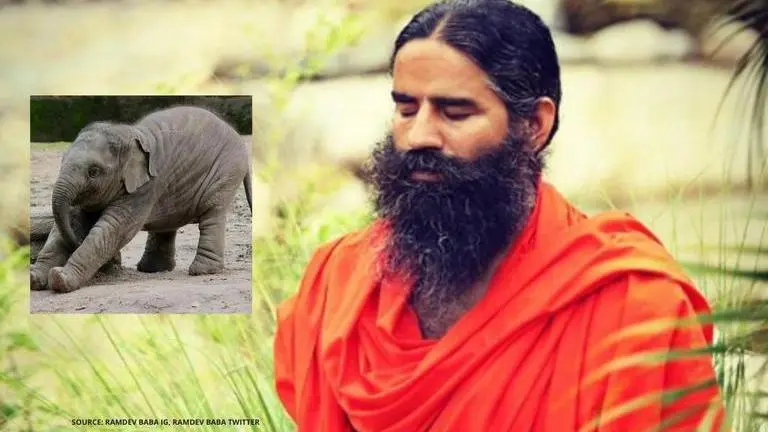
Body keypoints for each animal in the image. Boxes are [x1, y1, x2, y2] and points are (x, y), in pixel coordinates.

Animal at [30, 105, 252, 293]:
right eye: (61, 161)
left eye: (93, 172)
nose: (77, 242)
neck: (128, 135)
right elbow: (71, 224)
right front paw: (34, 279)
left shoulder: (145, 188)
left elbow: (114, 229)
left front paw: (60, 279)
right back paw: (151, 270)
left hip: (226, 170)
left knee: (212, 214)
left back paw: (201, 271)